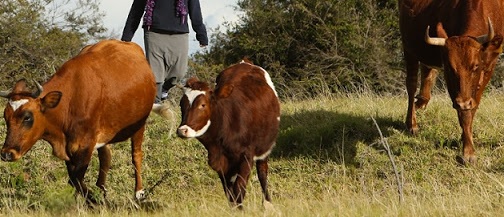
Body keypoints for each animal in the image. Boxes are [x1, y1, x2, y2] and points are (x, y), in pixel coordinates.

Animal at [0, 39, 157, 203]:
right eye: (6, 117)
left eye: (27, 117)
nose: (7, 154)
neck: (70, 100)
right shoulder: (70, 149)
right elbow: (74, 179)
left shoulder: (85, 146)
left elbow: (76, 179)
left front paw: (94, 201)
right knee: (106, 157)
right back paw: (101, 189)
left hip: (139, 125)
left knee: (136, 156)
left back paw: (138, 192)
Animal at [176, 59, 280, 209]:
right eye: (181, 104)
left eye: (202, 105)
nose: (182, 130)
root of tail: (244, 62)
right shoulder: (220, 163)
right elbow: (229, 193)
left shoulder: (246, 156)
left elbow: (239, 188)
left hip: (264, 148)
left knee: (262, 173)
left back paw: (268, 204)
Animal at [398, 0, 504, 163]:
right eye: (449, 68)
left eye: (476, 66)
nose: (463, 102)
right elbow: (463, 112)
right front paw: (468, 151)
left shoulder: (489, 65)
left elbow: (474, 104)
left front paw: (465, 138)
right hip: (409, 48)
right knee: (411, 85)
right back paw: (412, 123)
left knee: (427, 75)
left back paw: (420, 102)